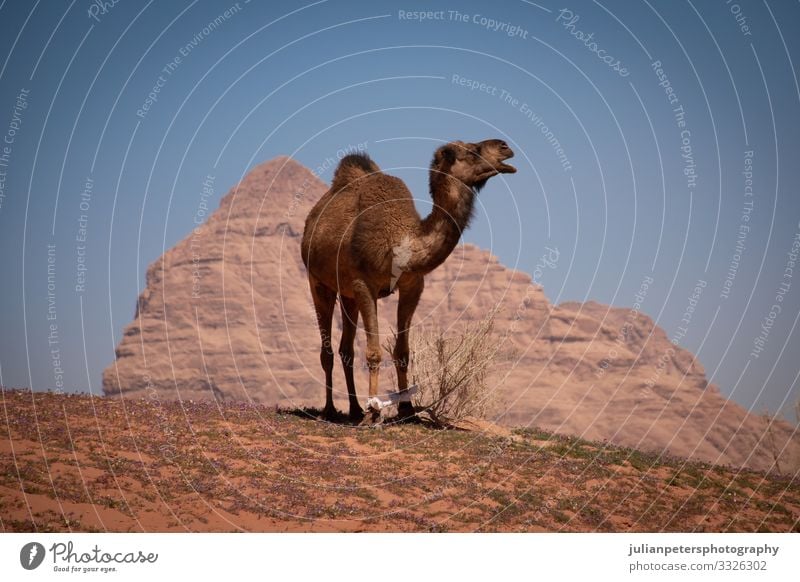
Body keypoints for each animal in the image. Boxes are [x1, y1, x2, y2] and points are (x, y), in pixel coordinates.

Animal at [302, 141, 520, 424]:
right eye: (471, 151)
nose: (505, 148)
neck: (402, 240)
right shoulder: (364, 284)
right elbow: (374, 352)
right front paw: (373, 412)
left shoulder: (412, 286)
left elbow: (402, 352)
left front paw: (407, 409)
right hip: (318, 281)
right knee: (327, 350)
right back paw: (330, 409)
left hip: (347, 294)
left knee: (346, 350)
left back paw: (354, 408)